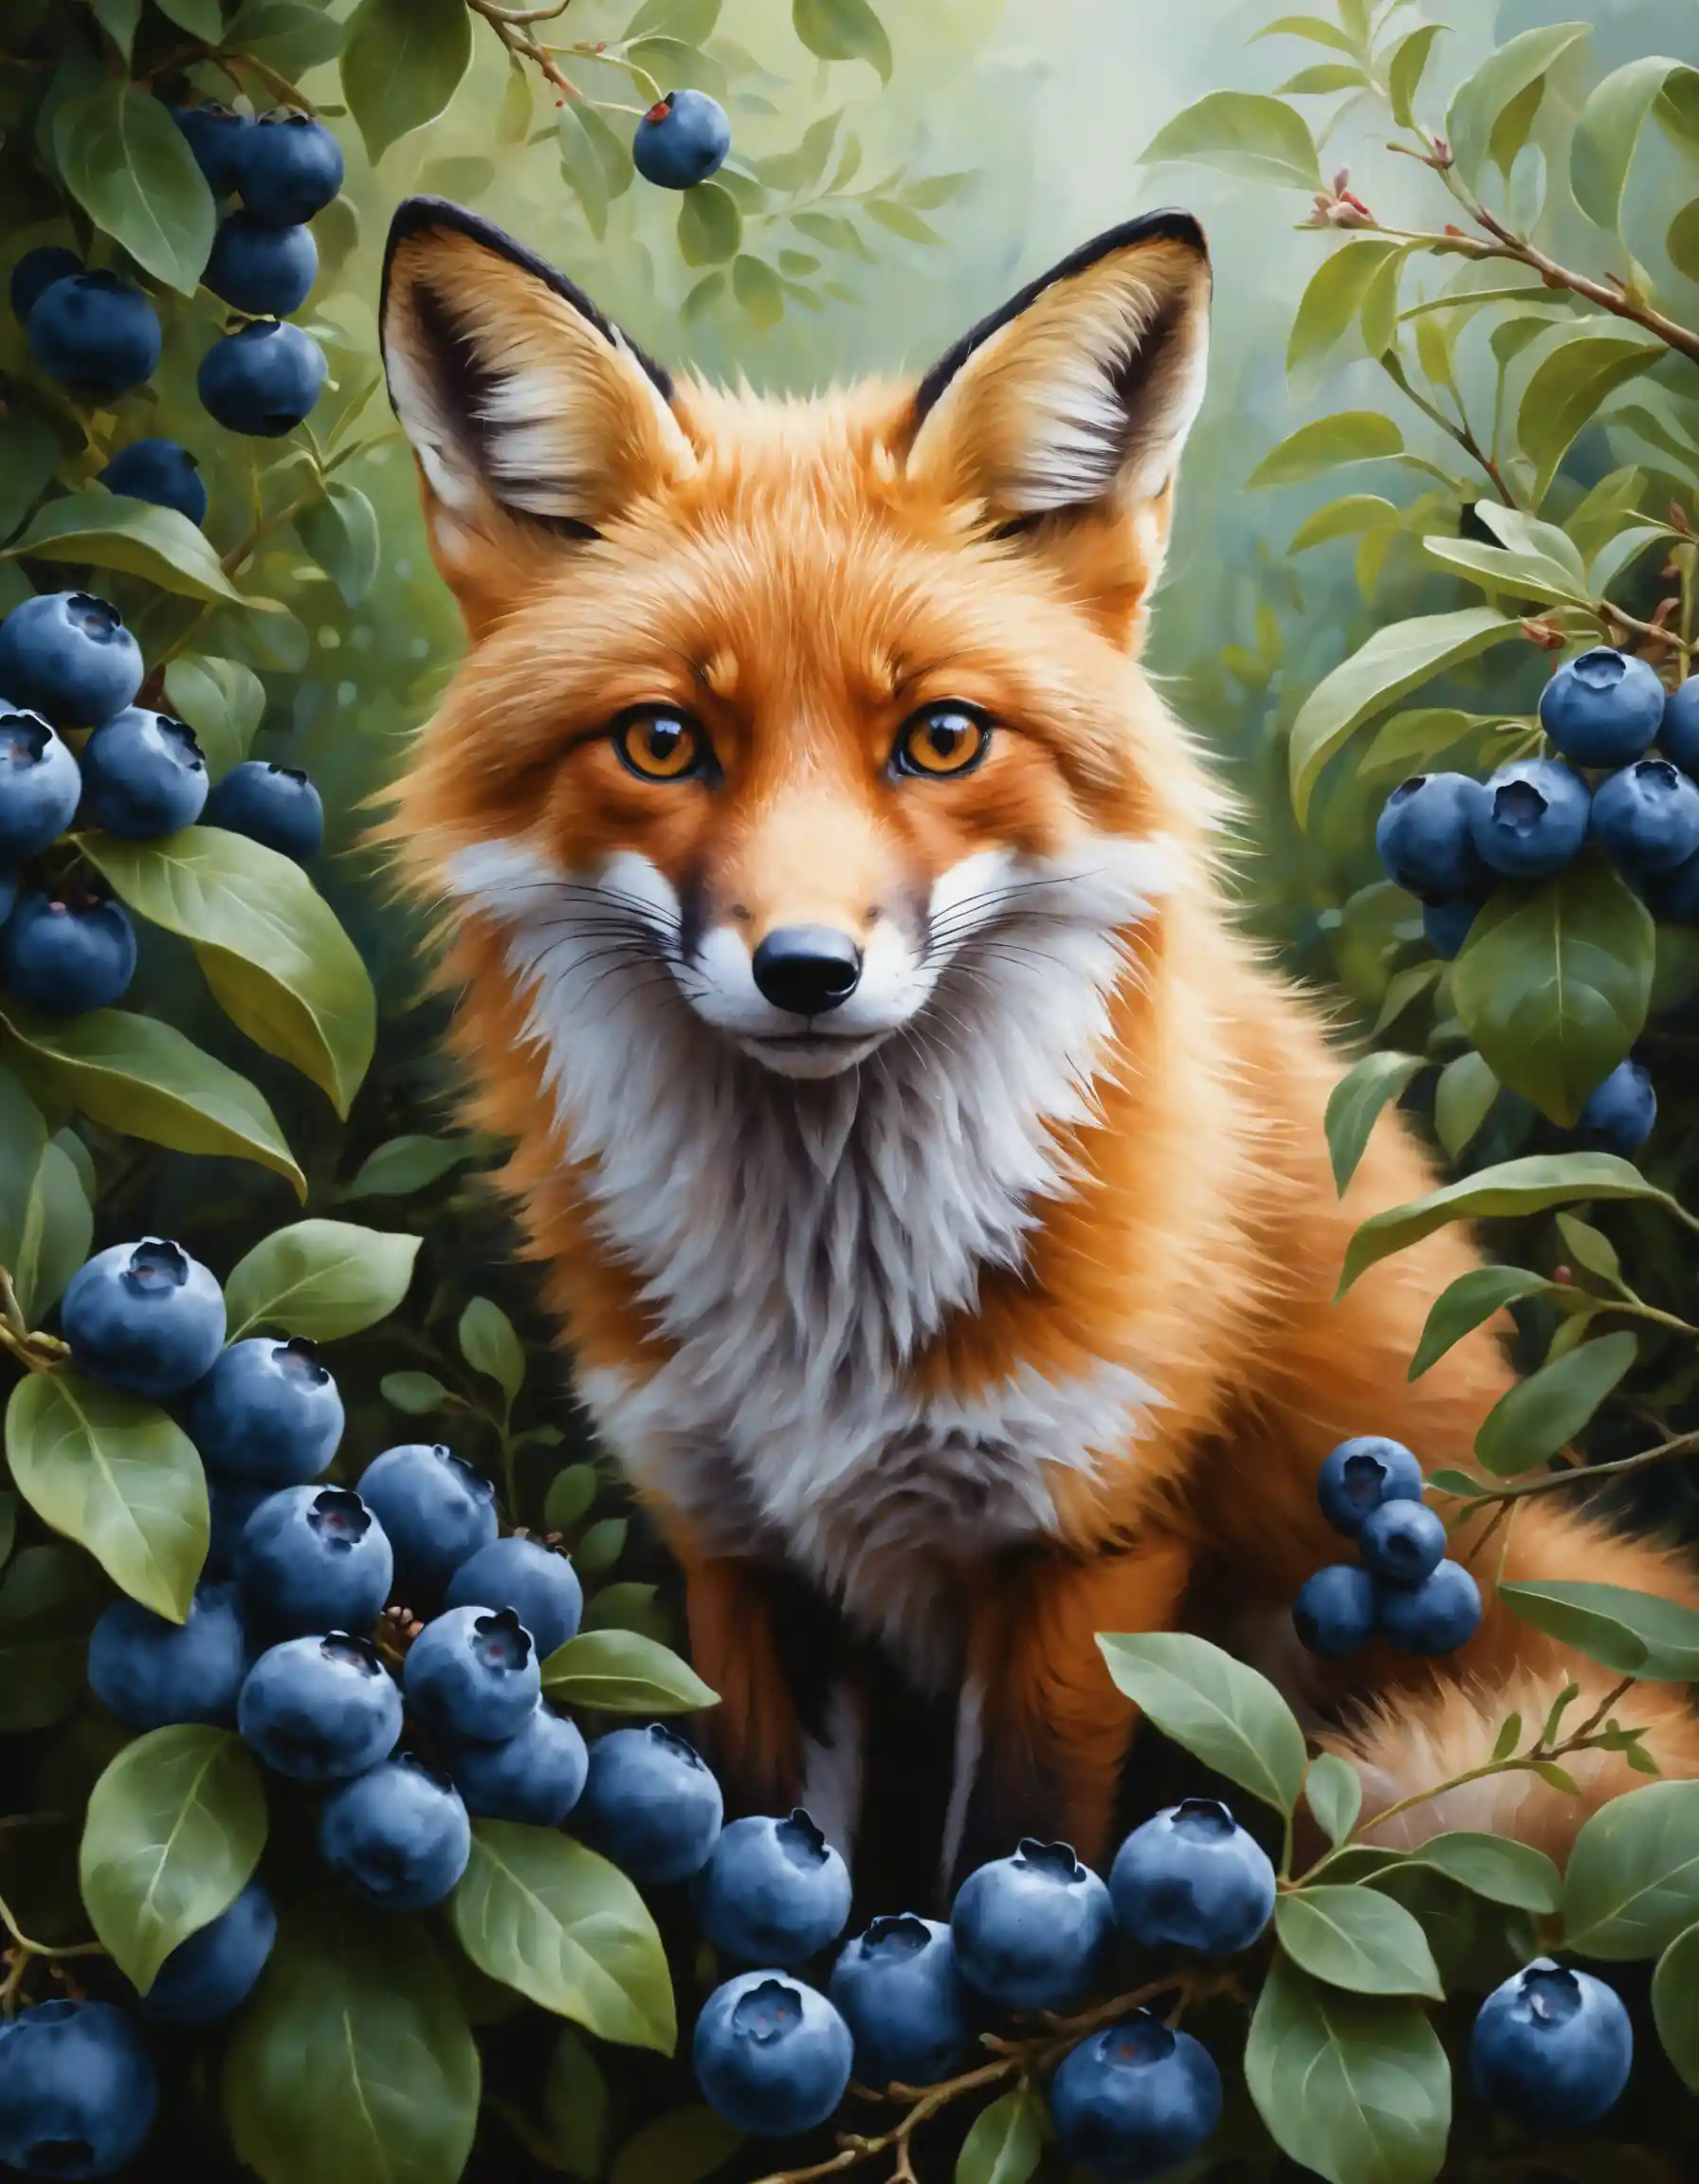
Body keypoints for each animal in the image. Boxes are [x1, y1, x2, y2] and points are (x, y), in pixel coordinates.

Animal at [378, 194, 1699, 1903]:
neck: (832, 1313)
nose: (808, 972)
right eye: (663, 741)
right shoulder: (734, 1552)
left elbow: (1011, 1867)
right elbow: (760, 1870)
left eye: (940, 737)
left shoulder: (1088, 1541)